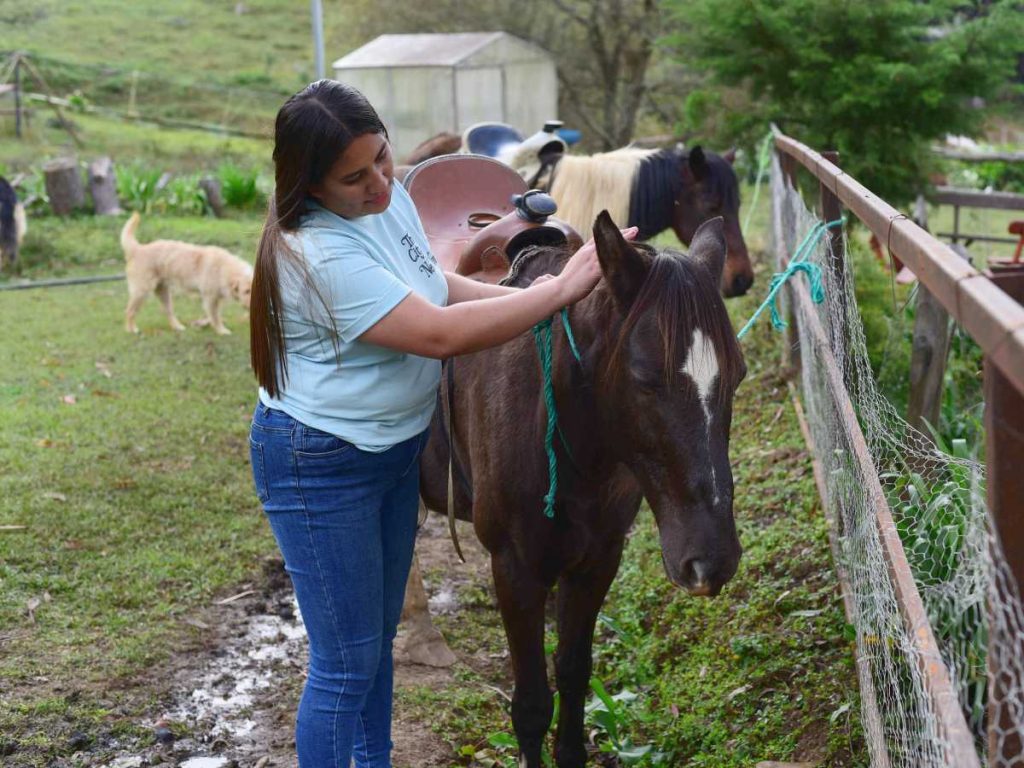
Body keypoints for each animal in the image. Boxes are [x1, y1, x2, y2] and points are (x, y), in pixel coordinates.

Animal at [418, 211, 746, 767]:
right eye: (644, 376)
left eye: (738, 375)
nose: (712, 559)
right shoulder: (515, 568)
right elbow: (531, 704)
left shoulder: (598, 560)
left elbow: (573, 673)